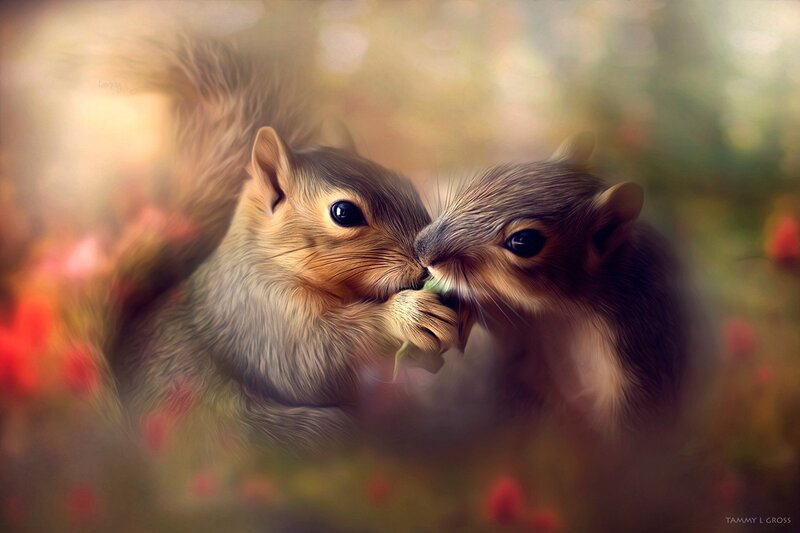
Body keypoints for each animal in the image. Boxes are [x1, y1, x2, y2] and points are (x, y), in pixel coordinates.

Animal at [96, 36, 458, 450]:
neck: (273, 261)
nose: (428, 260)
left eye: (403, 182)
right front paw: (408, 315)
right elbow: (306, 363)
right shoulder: (256, 314)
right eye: (344, 213)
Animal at [413, 134, 690, 435]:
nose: (421, 248)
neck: (564, 312)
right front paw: (427, 314)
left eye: (525, 242)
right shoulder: (528, 334)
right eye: (488, 176)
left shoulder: (637, 346)